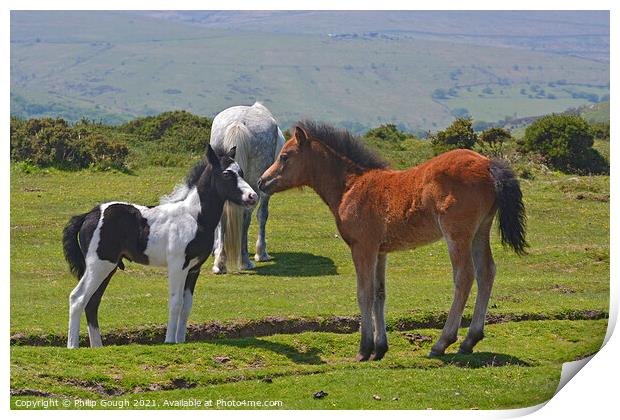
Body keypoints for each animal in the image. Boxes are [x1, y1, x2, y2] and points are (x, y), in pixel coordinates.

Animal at [63, 146, 256, 350]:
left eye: (241, 173)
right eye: (226, 174)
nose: (253, 197)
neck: (194, 217)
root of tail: (88, 215)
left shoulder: (194, 269)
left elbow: (187, 305)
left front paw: (181, 340)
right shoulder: (178, 266)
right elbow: (176, 302)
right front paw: (170, 340)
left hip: (109, 267)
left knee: (92, 302)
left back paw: (97, 347)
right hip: (99, 265)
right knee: (77, 298)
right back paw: (73, 346)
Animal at [260, 121, 524, 360]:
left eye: (284, 156)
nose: (263, 181)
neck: (351, 186)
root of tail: (488, 163)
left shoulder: (362, 247)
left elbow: (364, 293)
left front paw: (364, 349)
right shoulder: (380, 251)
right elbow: (380, 293)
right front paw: (380, 349)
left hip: (457, 233)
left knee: (464, 276)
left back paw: (442, 342)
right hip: (480, 231)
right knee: (486, 271)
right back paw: (470, 340)